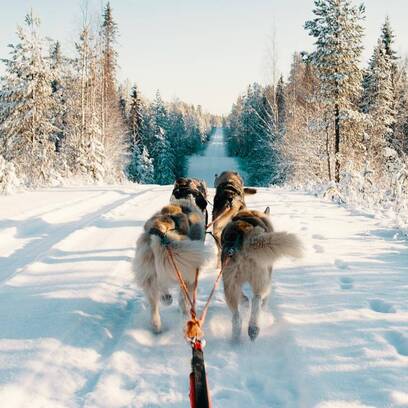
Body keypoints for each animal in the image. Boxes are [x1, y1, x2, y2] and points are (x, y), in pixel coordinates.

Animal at [220, 210, 302, 342]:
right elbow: (262, 302)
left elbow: (243, 299)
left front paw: (245, 304)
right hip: (262, 279)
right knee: (257, 299)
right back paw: (254, 328)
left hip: (229, 285)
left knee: (236, 315)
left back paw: (237, 335)